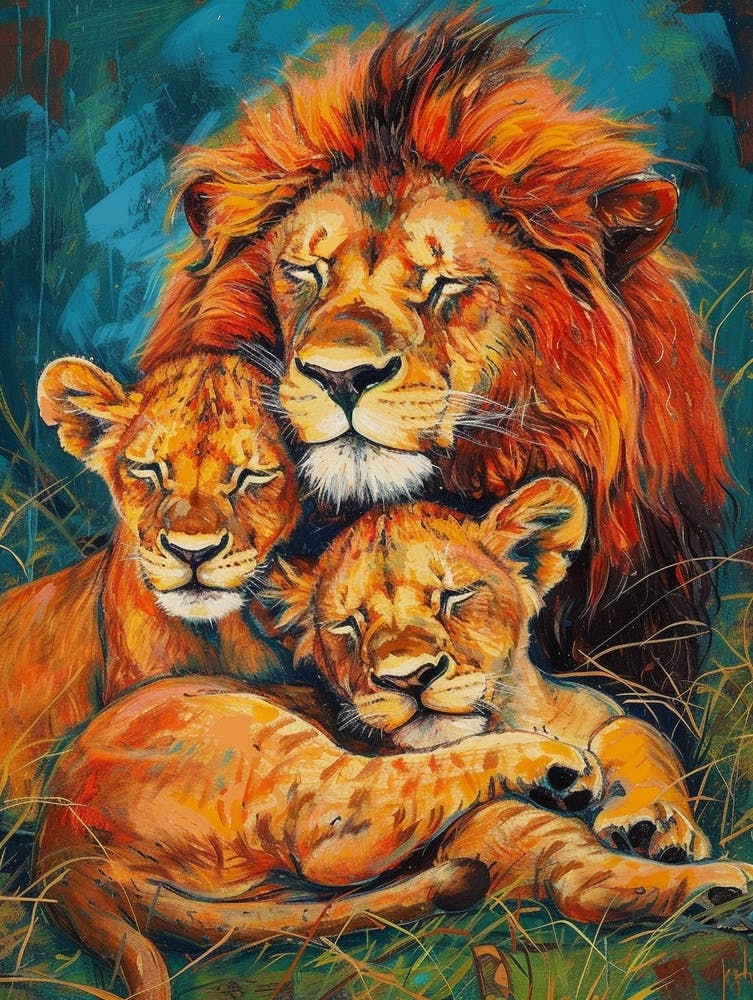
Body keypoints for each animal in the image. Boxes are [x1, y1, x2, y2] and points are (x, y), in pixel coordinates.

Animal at [268, 477, 712, 865]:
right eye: (348, 624)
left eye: (454, 596)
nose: (408, 677)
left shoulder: (602, 710)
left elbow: (634, 733)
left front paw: (653, 823)